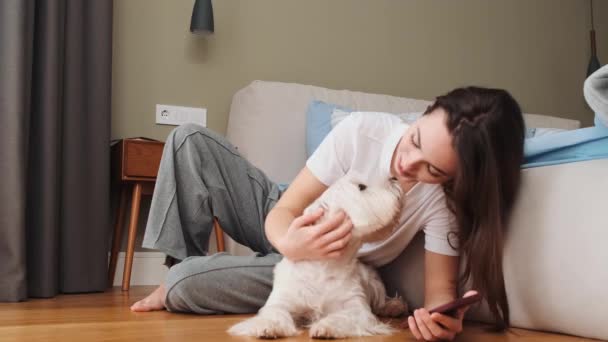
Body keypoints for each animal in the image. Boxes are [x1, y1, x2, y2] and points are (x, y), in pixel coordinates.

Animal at [228, 176, 408, 340]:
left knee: (381, 300)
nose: (394, 178)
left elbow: (346, 316)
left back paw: (394, 306)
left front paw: (325, 327)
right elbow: (274, 312)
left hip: (373, 280)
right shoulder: (282, 299)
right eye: (361, 186)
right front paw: (268, 326)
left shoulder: (356, 306)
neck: (323, 266)